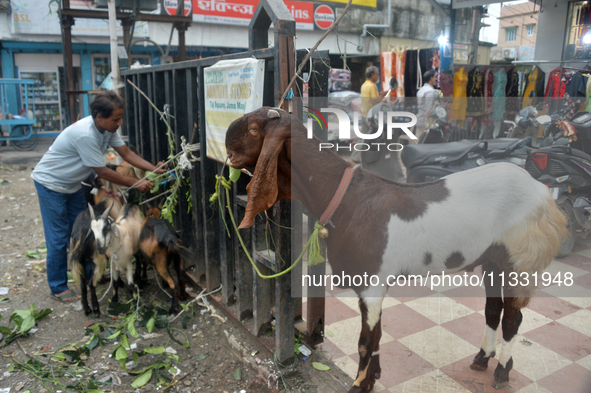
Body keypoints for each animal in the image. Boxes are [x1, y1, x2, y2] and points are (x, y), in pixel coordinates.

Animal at [225, 105, 568, 390]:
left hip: (520, 259)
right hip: (493, 259)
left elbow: (366, 340)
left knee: (512, 318)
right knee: (493, 310)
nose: (226, 145)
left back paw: (502, 372)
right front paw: (373, 375)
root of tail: (544, 195)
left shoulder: (372, 284)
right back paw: (482, 358)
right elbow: (376, 335)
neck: (344, 199)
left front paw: (360, 383)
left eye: (254, 129)